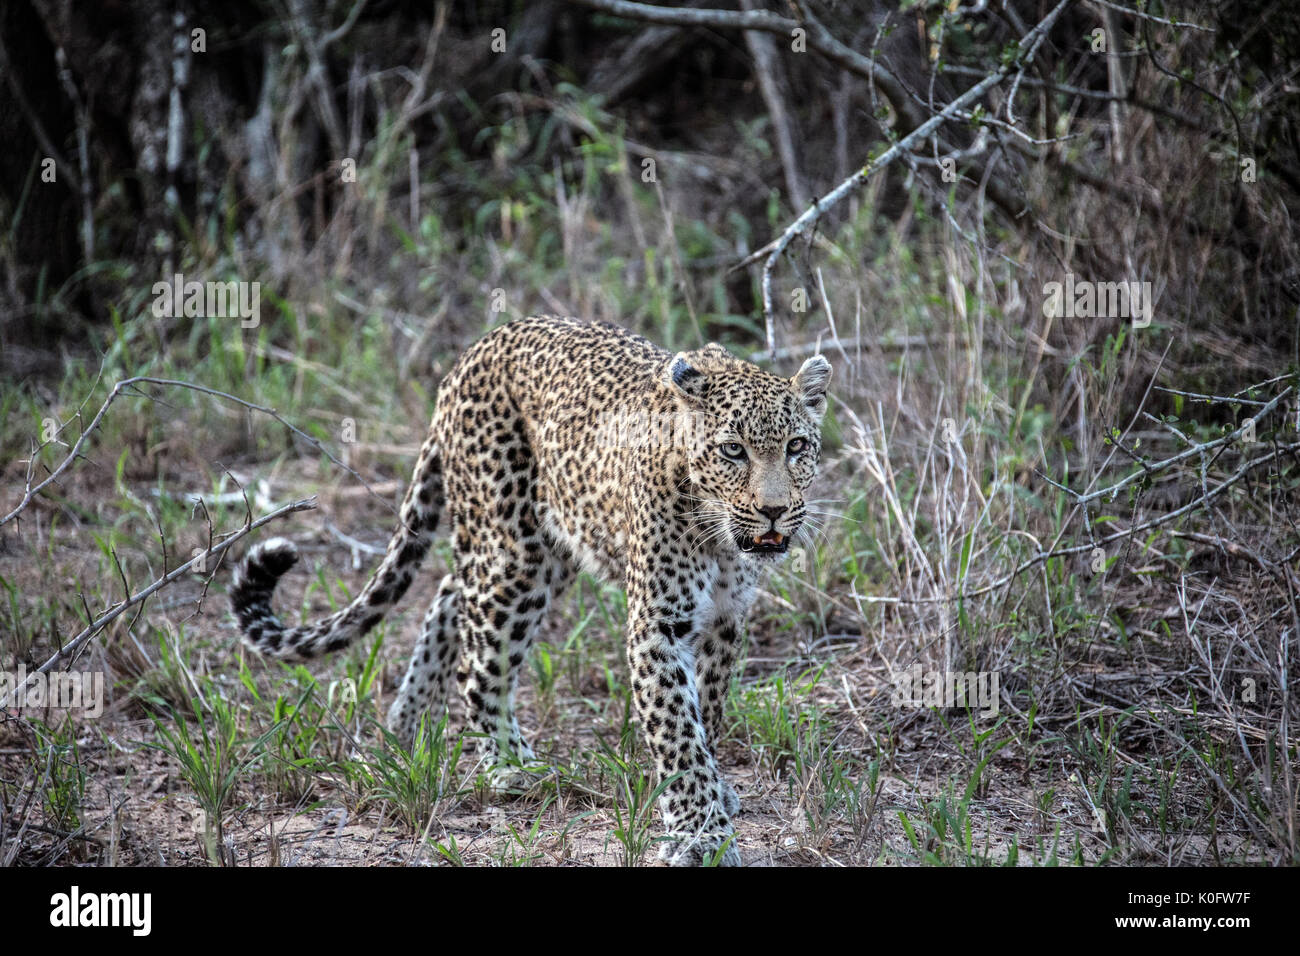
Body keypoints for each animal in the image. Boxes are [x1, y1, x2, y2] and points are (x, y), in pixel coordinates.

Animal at [230, 314, 832, 868]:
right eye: (733, 451)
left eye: (797, 446)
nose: (774, 510)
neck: (718, 534)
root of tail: (474, 350)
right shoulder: (659, 622)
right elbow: (677, 729)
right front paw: (700, 834)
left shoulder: (726, 617)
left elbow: (707, 707)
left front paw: (713, 796)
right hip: (513, 552)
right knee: (477, 661)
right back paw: (514, 767)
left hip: (552, 545)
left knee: (448, 594)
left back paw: (403, 729)